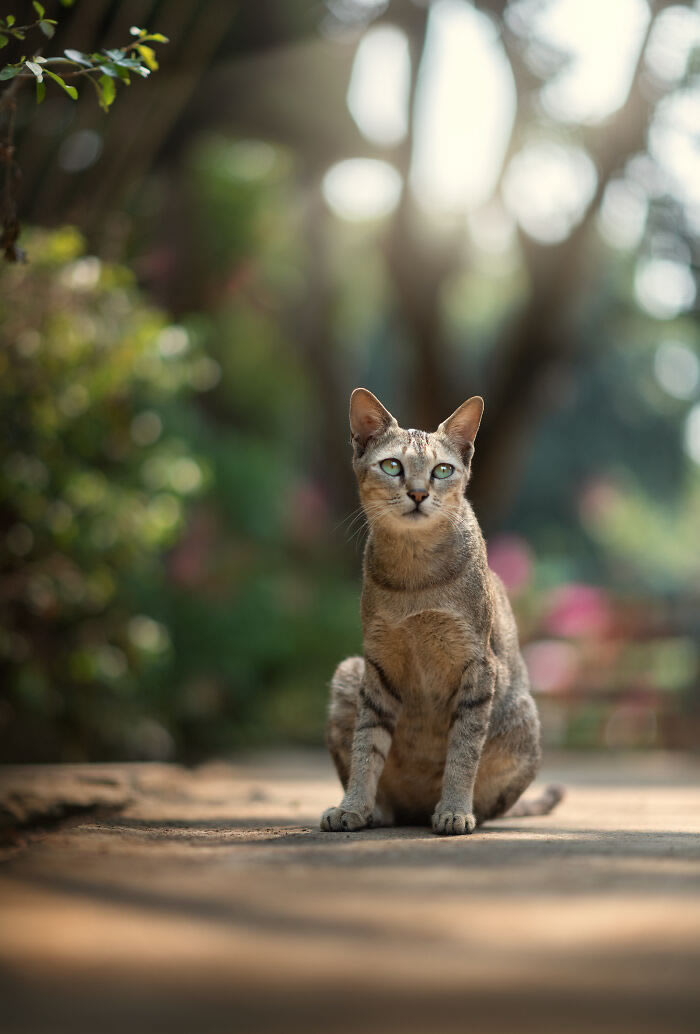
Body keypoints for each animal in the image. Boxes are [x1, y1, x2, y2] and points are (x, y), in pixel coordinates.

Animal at [320, 388, 562, 831]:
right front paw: (352, 806)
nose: (418, 493)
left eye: (443, 470)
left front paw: (454, 809)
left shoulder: (478, 666)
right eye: (392, 465)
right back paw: (377, 810)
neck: (415, 579)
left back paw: (464, 811)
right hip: (347, 675)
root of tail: (414, 809)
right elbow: (366, 747)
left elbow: (463, 751)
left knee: (491, 802)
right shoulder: (378, 665)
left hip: (522, 721)